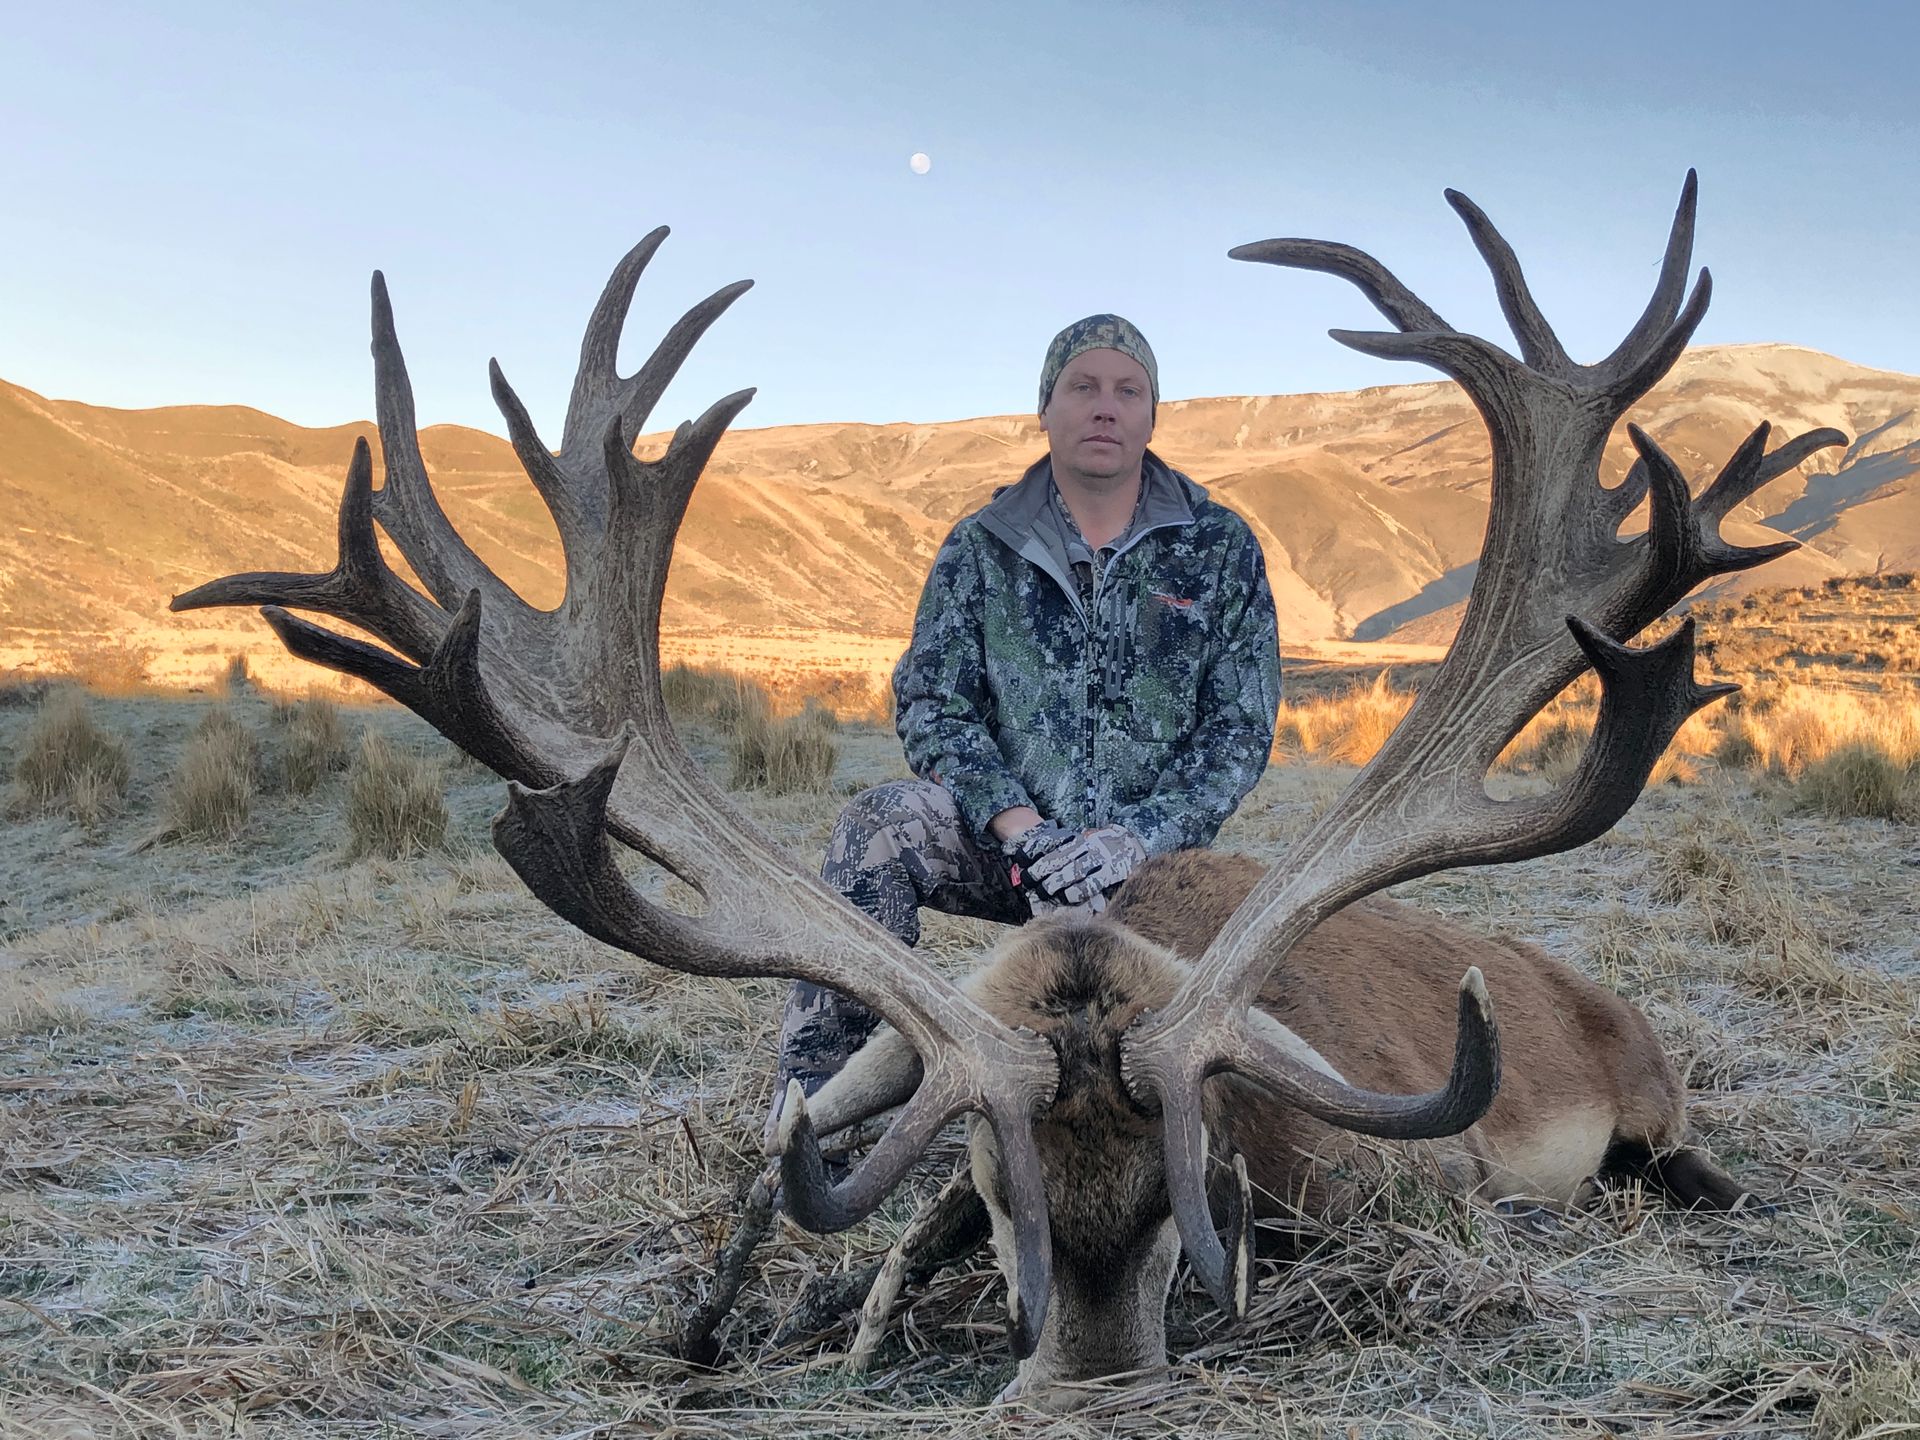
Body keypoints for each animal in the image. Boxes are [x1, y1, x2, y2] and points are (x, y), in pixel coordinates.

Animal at [172, 172, 1843, 1410]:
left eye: (1189, 1193)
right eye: (988, 1180)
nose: (1093, 1380)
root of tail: (1604, 1012)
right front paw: (805, 1311)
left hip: (1649, 1102)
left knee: (1684, 1165)